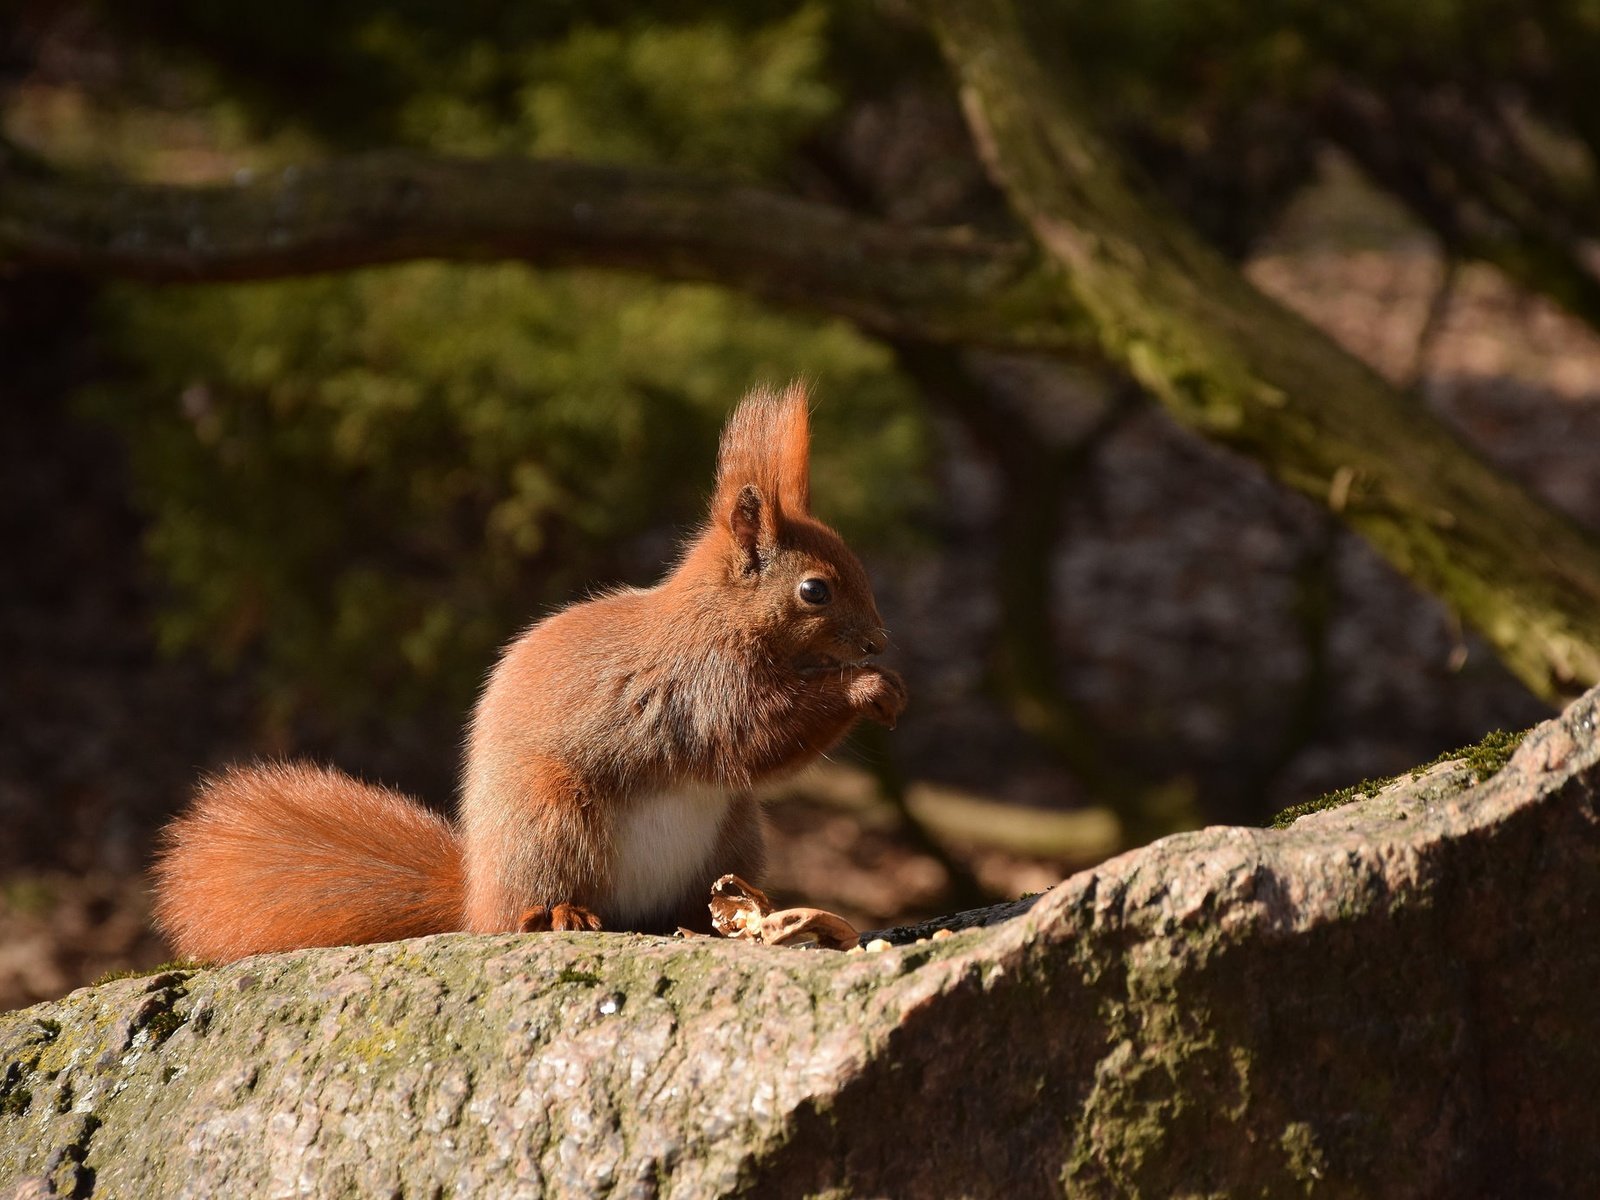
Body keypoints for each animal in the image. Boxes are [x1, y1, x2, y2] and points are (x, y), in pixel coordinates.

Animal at [157, 385, 915, 966]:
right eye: (815, 591)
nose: (879, 641)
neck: (717, 618)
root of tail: (476, 897)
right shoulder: (702, 686)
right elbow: (756, 737)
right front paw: (867, 688)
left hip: (735, 833)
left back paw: (725, 919)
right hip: (554, 819)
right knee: (529, 907)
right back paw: (557, 916)